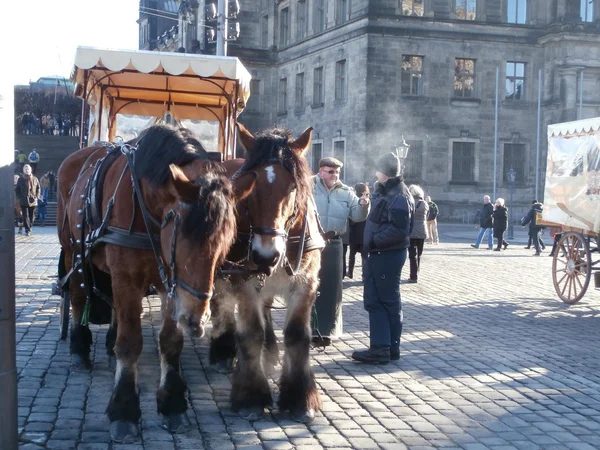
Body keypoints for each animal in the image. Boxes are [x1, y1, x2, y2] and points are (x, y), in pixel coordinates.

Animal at [56, 125, 253, 442]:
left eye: (225, 244)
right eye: (183, 239)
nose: (195, 320)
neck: (147, 206)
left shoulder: (171, 284)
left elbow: (170, 341)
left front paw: (172, 404)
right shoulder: (127, 276)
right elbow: (130, 342)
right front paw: (123, 411)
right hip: (74, 252)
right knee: (77, 297)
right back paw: (79, 350)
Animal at [210, 125, 324, 424]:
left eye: (293, 187)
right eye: (250, 189)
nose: (265, 256)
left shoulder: (306, 282)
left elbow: (297, 334)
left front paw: (300, 397)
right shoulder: (244, 281)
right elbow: (251, 332)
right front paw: (250, 396)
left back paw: (271, 352)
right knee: (222, 307)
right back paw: (222, 349)